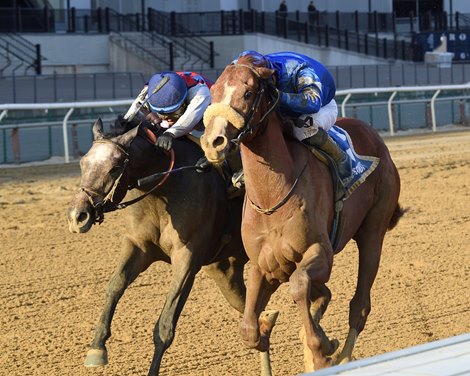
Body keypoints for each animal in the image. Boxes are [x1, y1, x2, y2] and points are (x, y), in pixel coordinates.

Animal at [68, 119, 278, 376]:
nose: (78, 216)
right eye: (83, 163)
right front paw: (97, 347)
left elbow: (165, 326)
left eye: (114, 168)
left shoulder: (187, 257)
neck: (164, 189)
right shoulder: (138, 245)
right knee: (251, 309)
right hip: (226, 269)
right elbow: (115, 285)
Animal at [200, 57, 406, 372]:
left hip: (373, 232)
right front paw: (268, 330)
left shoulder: (319, 250)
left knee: (359, 305)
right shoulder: (264, 264)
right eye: (213, 94)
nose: (214, 142)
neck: (273, 195)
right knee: (327, 294)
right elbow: (249, 328)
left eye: (248, 93)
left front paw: (321, 348)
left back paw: (343, 355)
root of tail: (375, 137)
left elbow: (299, 285)